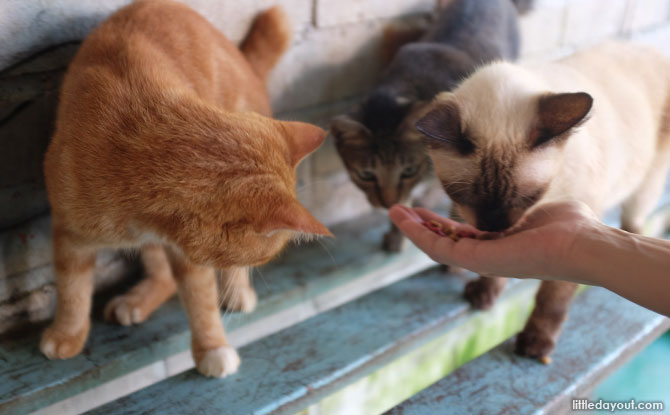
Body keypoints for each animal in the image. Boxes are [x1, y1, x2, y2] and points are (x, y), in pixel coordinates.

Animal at [41, 0, 330, 380]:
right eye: (262, 257)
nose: (260, 265)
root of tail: (242, 60)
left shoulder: (189, 257)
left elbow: (200, 299)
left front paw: (212, 347)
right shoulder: (69, 233)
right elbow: (72, 289)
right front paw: (67, 333)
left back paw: (235, 291)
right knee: (160, 274)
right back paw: (139, 299)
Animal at [418, 43, 668, 360]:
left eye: (529, 197)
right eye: (463, 195)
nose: (494, 226)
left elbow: (552, 301)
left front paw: (535, 344)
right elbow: (495, 270)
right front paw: (485, 293)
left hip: (647, 180)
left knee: (635, 219)